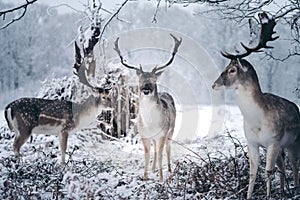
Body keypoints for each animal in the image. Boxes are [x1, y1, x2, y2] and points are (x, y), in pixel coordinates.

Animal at [3, 26, 111, 164]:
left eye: (110, 96)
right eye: (104, 97)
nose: (112, 106)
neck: (80, 115)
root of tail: (8, 107)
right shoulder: (64, 129)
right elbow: (63, 151)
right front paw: (63, 165)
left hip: (18, 130)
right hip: (24, 127)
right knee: (15, 146)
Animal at [113, 34, 182, 181]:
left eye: (153, 80)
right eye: (140, 80)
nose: (145, 89)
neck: (151, 123)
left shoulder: (162, 133)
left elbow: (161, 154)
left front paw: (161, 178)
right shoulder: (144, 135)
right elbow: (147, 153)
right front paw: (145, 176)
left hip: (171, 129)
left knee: (167, 148)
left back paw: (168, 169)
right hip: (154, 137)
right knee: (154, 149)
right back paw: (153, 168)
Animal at [212, 12, 300, 198]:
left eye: (232, 70)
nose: (214, 84)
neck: (257, 120)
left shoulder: (274, 140)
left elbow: (268, 171)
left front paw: (267, 195)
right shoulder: (252, 142)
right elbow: (253, 172)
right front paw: (249, 195)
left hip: (293, 141)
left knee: (294, 164)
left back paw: (295, 189)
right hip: (281, 146)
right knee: (283, 165)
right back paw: (283, 191)